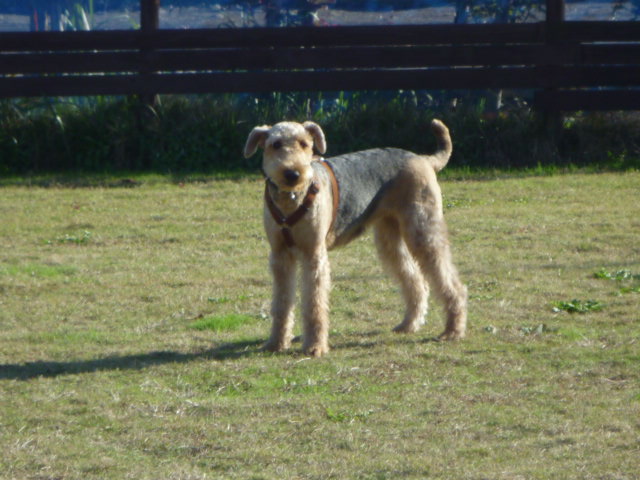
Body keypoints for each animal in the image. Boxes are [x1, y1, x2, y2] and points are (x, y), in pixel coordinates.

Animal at [244, 119, 467, 357]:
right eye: (275, 144)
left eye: (304, 144)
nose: (293, 174)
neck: (291, 200)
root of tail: (422, 158)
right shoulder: (280, 256)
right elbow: (281, 303)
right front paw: (275, 343)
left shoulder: (314, 255)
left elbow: (314, 303)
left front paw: (315, 346)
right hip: (389, 238)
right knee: (417, 281)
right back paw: (409, 324)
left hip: (423, 230)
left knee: (451, 282)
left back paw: (452, 330)